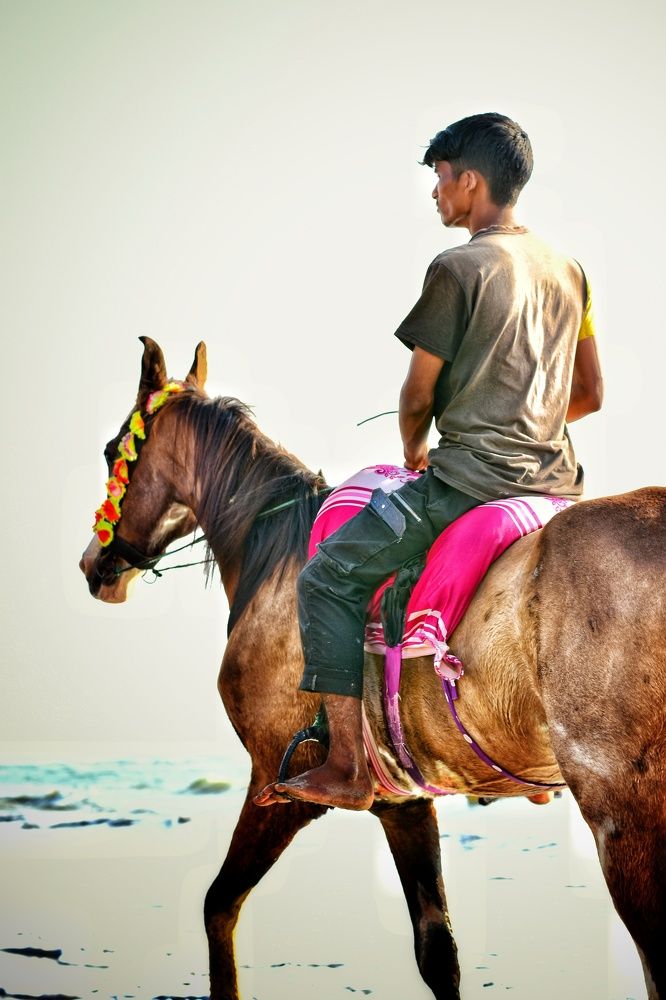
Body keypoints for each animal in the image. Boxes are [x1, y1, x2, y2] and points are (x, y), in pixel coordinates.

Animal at [80, 337, 666, 1000]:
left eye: (112, 452)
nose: (93, 564)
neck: (275, 562)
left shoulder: (275, 786)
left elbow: (218, 906)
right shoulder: (404, 803)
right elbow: (438, 951)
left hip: (622, 814)